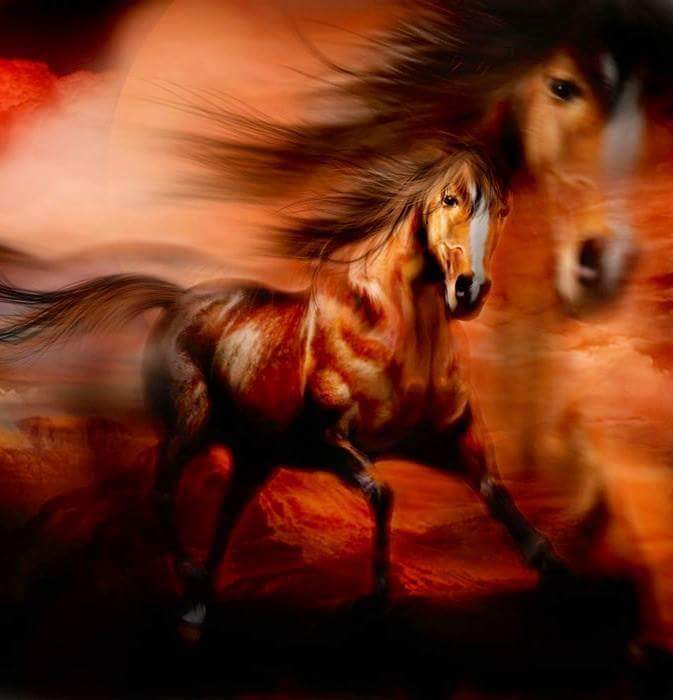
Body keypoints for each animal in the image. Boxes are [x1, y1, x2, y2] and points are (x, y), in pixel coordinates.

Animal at [0, 147, 565, 638]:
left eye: (502, 209)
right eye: (450, 199)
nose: (470, 290)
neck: (399, 336)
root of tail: (178, 299)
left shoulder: (451, 435)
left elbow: (493, 489)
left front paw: (555, 567)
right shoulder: (329, 441)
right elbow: (383, 492)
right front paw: (376, 598)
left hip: (255, 456)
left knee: (227, 514)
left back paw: (201, 602)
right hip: (190, 427)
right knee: (162, 493)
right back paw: (189, 581)